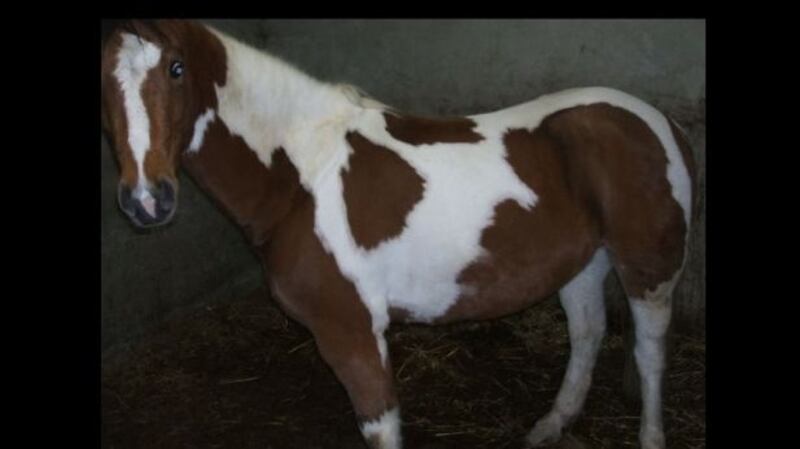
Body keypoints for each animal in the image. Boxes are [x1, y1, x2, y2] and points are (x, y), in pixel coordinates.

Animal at [100, 19, 697, 449]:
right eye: (101, 82)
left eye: (177, 69)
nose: (147, 200)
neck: (302, 175)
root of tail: (660, 121)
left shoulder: (353, 334)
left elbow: (380, 427)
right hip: (583, 262)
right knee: (588, 333)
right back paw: (551, 426)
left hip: (649, 269)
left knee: (650, 351)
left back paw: (650, 436)